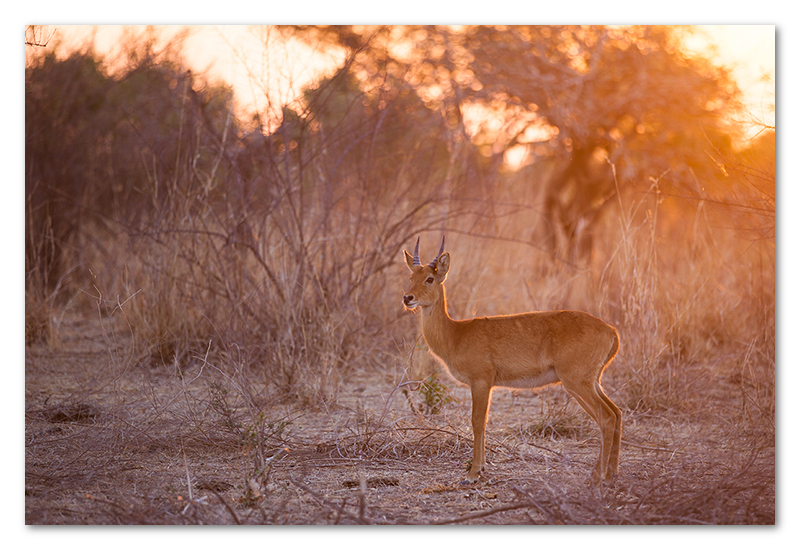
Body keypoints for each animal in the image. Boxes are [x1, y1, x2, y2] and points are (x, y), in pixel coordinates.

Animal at [404, 235, 620, 486]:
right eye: (411, 277)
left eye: (430, 278)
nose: (407, 298)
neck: (456, 334)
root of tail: (611, 331)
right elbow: (484, 422)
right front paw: (481, 468)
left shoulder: (481, 382)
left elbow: (478, 422)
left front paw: (472, 473)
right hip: (591, 382)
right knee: (616, 413)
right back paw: (611, 473)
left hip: (577, 382)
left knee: (606, 418)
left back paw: (598, 478)